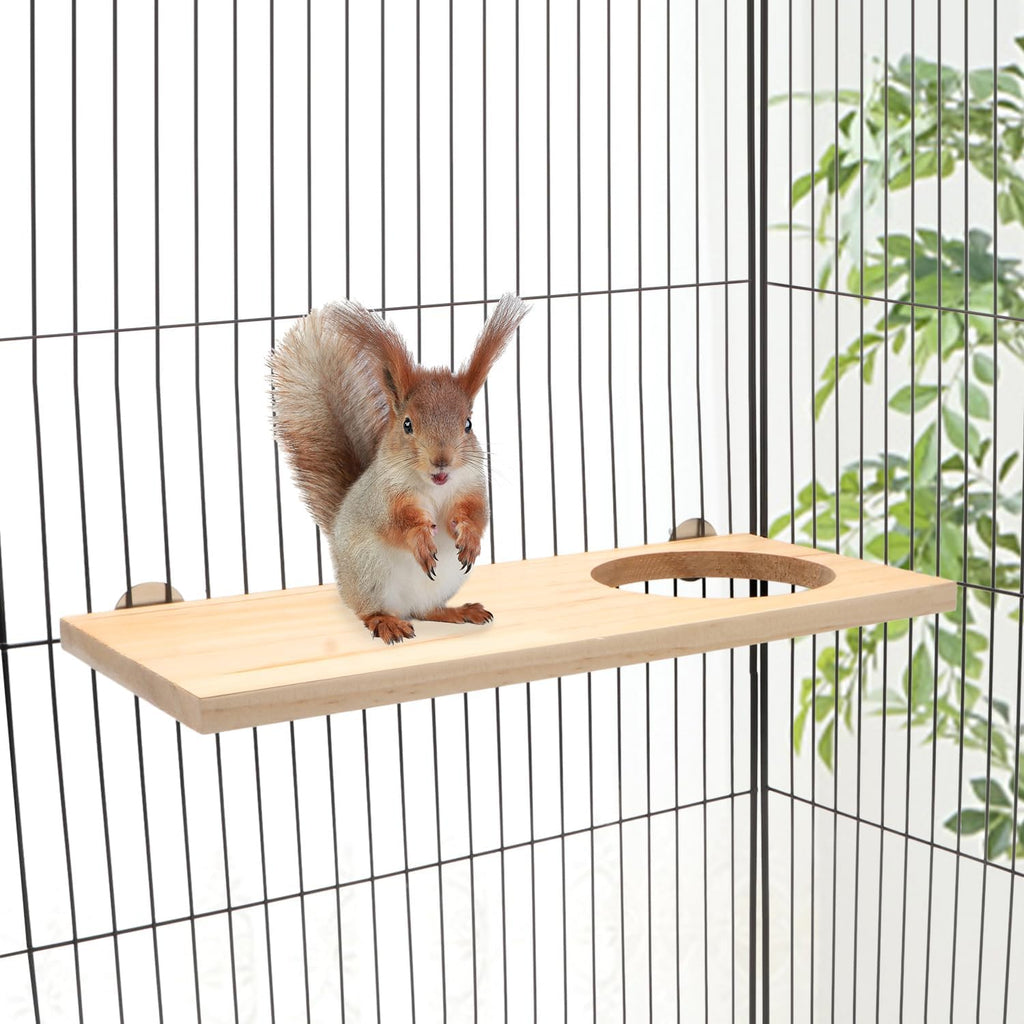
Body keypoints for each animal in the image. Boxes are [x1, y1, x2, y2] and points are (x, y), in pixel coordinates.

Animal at [270, 294, 529, 644]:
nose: (442, 460)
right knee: (370, 612)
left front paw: (469, 537)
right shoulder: (385, 497)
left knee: (426, 611)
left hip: (442, 584)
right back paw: (386, 622)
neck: (435, 486)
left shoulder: (471, 486)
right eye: (407, 424)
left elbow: (475, 514)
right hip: (370, 574)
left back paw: (459, 611)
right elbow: (399, 522)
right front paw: (421, 538)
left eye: (468, 424)